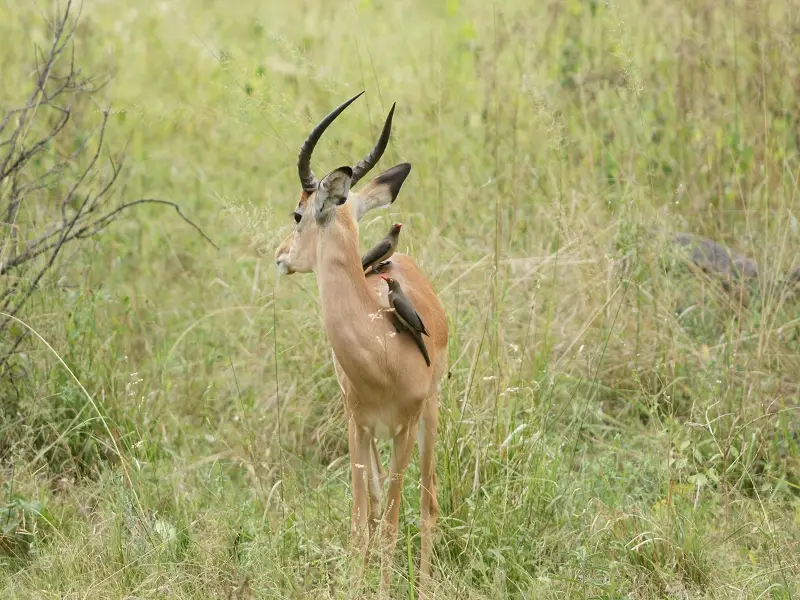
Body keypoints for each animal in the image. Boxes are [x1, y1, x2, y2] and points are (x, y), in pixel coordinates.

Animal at [274, 92, 448, 597]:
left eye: (298, 213)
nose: (281, 256)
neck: (382, 352)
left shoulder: (405, 427)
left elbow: (391, 523)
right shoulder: (357, 423)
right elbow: (361, 522)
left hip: (429, 416)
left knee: (428, 504)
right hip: (370, 433)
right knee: (372, 505)